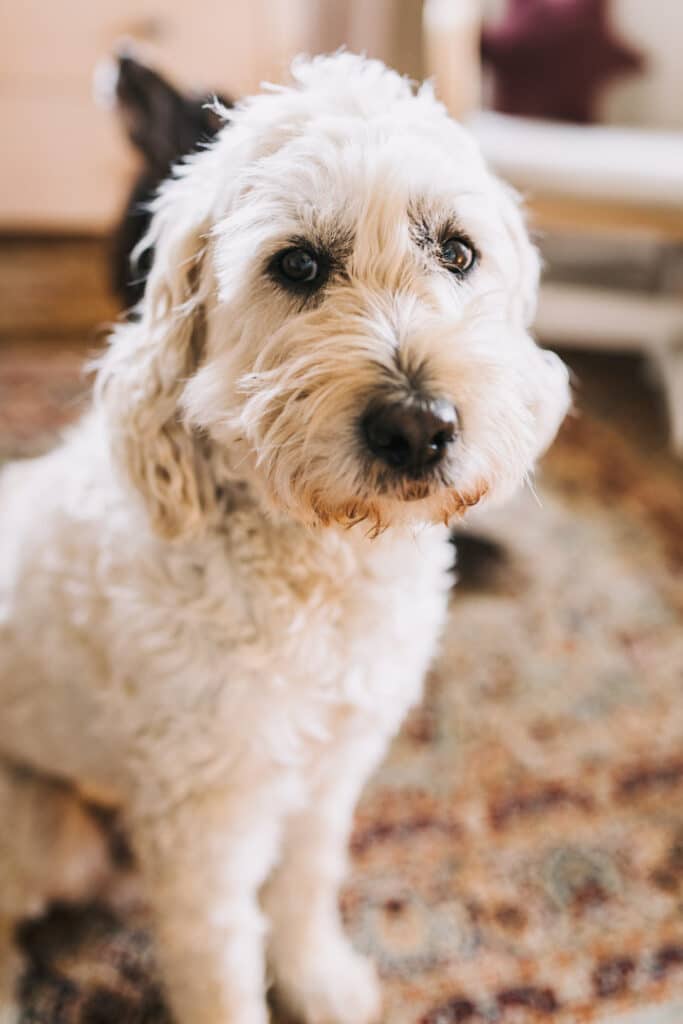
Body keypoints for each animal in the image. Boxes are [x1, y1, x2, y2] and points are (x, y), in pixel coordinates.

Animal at [0, 54, 569, 1024]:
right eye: (297, 263)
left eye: (456, 251)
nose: (418, 428)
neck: (321, 571)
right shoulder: (207, 822)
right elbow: (222, 958)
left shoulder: (329, 775)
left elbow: (304, 886)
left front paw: (319, 981)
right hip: (42, 830)